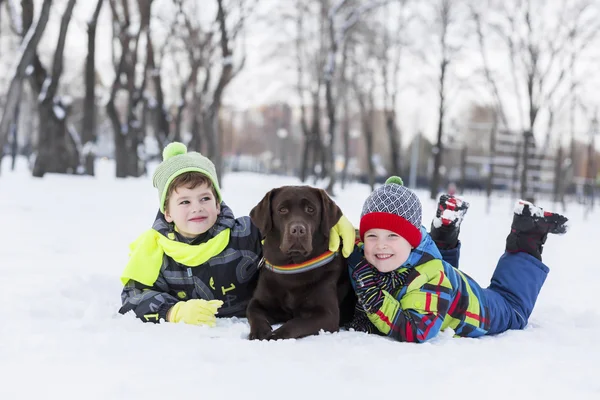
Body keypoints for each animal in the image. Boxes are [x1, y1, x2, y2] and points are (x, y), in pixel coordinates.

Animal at [246, 186, 354, 340]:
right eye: (282, 210)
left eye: (310, 209)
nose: (298, 230)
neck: (292, 269)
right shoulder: (258, 302)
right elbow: (254, 314)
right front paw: (260, 332)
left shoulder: (328, 314)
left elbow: (295, 323)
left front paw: (274, 335)